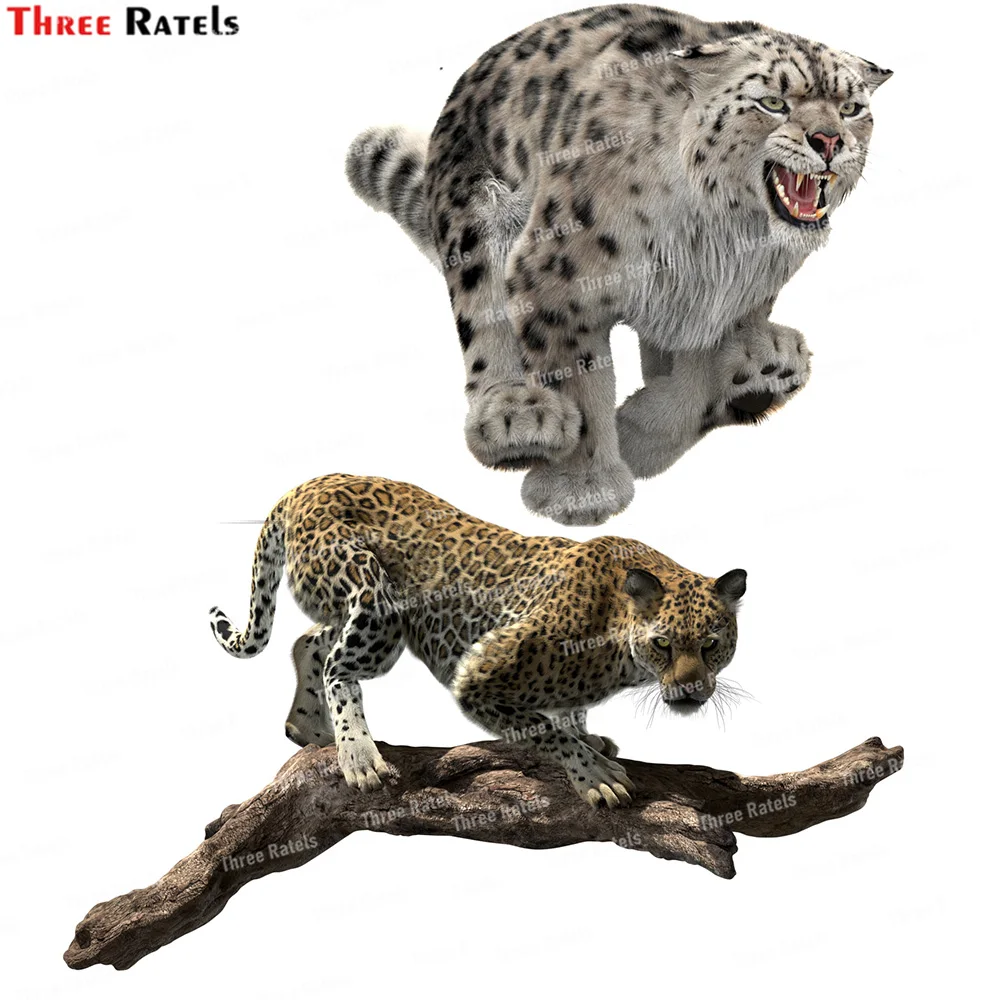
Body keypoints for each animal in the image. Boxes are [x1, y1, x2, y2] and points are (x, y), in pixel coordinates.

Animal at [209, 473, 747, 808]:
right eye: (663, 643)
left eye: (712, 644)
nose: (692, 690)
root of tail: (304, 485)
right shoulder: (478, 674)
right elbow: (543, 731)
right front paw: (594, 774)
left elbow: (567, 715)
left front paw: (587, 735)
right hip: (375, 603)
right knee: (338, 667)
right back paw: (358, 755)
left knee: (308, 642)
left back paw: (308, 728)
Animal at [345, 5, 891, 526]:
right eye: (773, 102)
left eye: (851, 108)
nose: (830, 141)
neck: (725, 235)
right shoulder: (556, 282)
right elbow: (579, 379)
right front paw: (581, 491)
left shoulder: (717, 299)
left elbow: (697, 378)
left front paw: (640, 437)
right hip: (474, 217)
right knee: (482, 319)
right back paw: (516, 414)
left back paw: (766, 364)